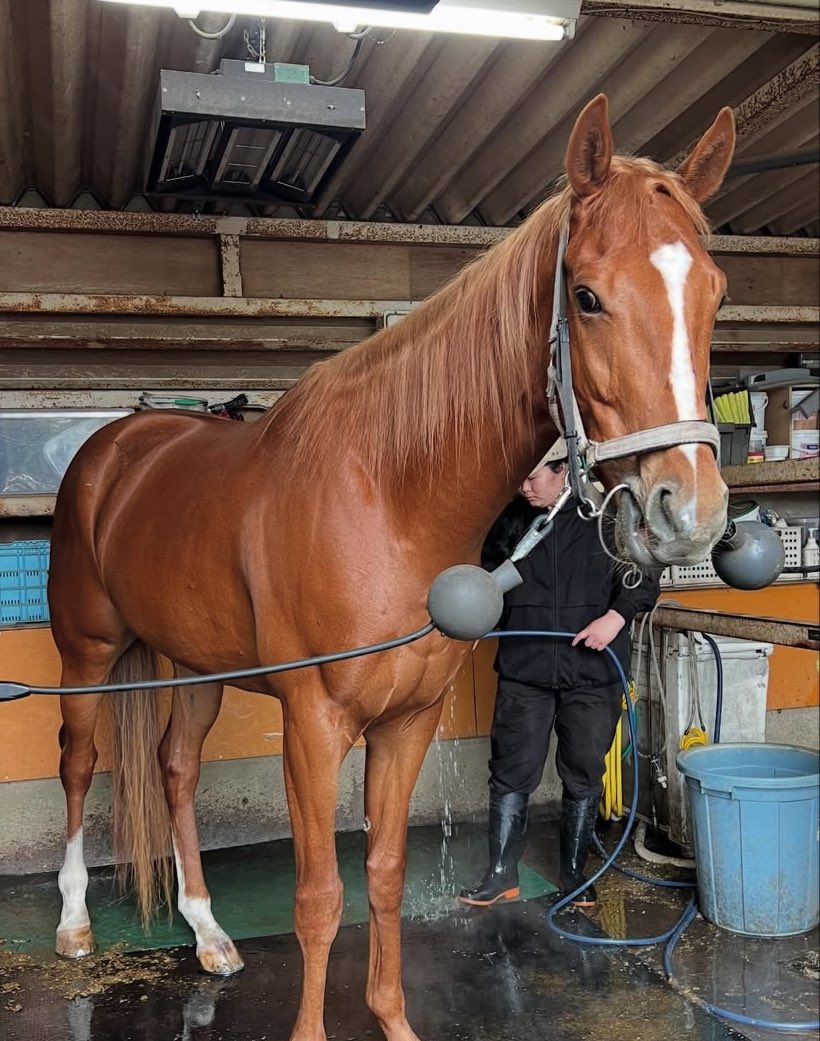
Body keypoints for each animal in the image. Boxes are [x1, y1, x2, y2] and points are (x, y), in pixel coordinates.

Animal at [47, 95, 735, 1041]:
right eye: (587, 296)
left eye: (715, 293)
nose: (688, 512)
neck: (387, 497)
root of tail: (119, 444)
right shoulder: (312, 723)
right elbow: (318, 898)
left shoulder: (408, 722)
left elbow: (383, 876)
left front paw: (392, 1017)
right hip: (85, 655)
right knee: (80, 765)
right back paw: (76, 924)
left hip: (194, 666)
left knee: (174, 769)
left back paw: (209, 932)